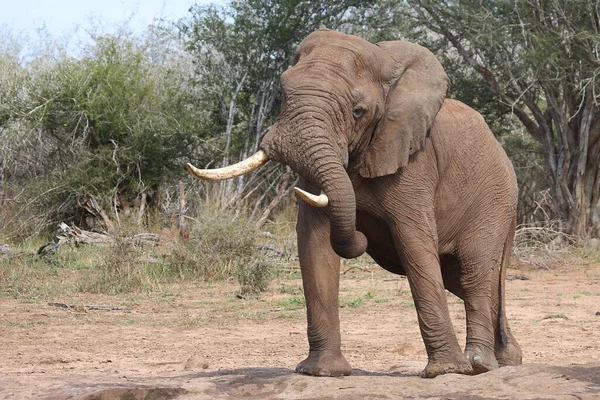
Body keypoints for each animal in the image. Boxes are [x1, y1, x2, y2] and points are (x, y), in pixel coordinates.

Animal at [188, 28, 520, 378]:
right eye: (282, 93)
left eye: (357, 111)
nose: (362, 236)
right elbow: (314, 243)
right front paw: (321, 372)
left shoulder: (414, 164)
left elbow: (413, 244)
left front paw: (445, 372)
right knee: (462, 278)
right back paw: (508, 359)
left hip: (493, 198)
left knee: (474, 271)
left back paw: (479, 365)